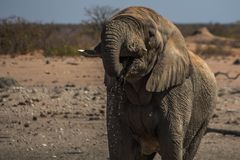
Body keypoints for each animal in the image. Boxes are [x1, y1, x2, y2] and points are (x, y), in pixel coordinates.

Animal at [80, 6, 218, 160]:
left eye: (151, 34)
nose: (121, 74)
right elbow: (120, 146)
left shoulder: (176, 90)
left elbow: (171, 145)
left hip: (205, 117)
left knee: (189, 149)